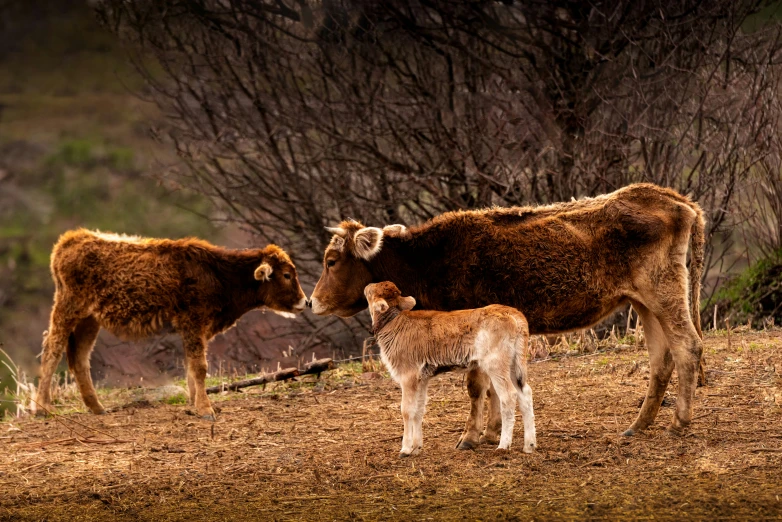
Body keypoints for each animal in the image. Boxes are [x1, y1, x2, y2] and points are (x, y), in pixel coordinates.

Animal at [34, 228, 310, 418]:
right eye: (287, 275)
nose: (304, 301)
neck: (219, 273)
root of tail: (72, 239)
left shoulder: (196, 330)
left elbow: (191, 368)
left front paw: (194, 402)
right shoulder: (193, 324)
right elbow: (199, 367)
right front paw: (205, 409)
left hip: (89, 320)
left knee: (79, 358)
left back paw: (97, 407)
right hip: (68, 310)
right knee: (52, 350)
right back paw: (41, 408)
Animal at [368, 280, 540, 456]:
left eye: (370, 292)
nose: (368, 286)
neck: (395, 323)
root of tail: (513, 313)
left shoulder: (408, 376)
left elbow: (407, 410)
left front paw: (406, 449)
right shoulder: (422, 378)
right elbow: (419, 409)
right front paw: (417, 447)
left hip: (496, 364)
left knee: (508, 396)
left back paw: (503, 446)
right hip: (515, 364)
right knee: (525, 393)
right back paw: (529, 445)